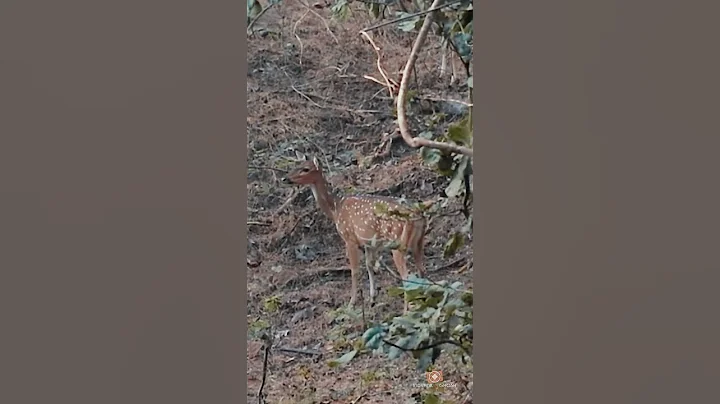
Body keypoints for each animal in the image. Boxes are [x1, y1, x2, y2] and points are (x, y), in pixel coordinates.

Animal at [281, 152, 427, 313]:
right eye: (296, 165)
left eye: (305, 169)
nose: (285, 179)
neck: (335, 209)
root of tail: (417, 216)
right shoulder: (369, 242)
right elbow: (369, 265)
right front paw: (372, 299)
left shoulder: (349, 237)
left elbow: (355, 270)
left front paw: (351, 303)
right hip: (418, 242)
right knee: (422, 270)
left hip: (397, 243)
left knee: (407, 276)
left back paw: (406, 310)